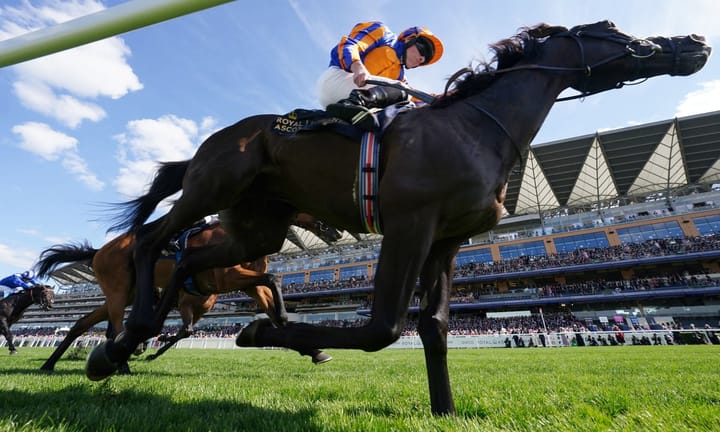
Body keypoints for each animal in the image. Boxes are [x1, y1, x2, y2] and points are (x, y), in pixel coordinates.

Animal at [36, 221, 332, 372]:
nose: (334, 228)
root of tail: (99, 250)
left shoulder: (244, 287)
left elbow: (273, 307)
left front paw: (314, 351)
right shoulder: (223, 280)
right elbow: (273, 281)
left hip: (121, 294)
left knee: (82, 323)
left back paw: (50, 364)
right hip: (117, 287)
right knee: (115, 327)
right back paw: (123, 362)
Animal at [88, 21, 710, 414]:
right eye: (620, 34)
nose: (696, 41)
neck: (475, 126)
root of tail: (219, 137)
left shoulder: (448, 240)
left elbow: (433, 326)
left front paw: (447, 410)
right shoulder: (409, 225)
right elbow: (381, 328)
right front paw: (260, 329)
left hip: (255, 226)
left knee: (189, 257)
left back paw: (129, 340)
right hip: (209, 189)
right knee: (151, 240)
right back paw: (123, 338)